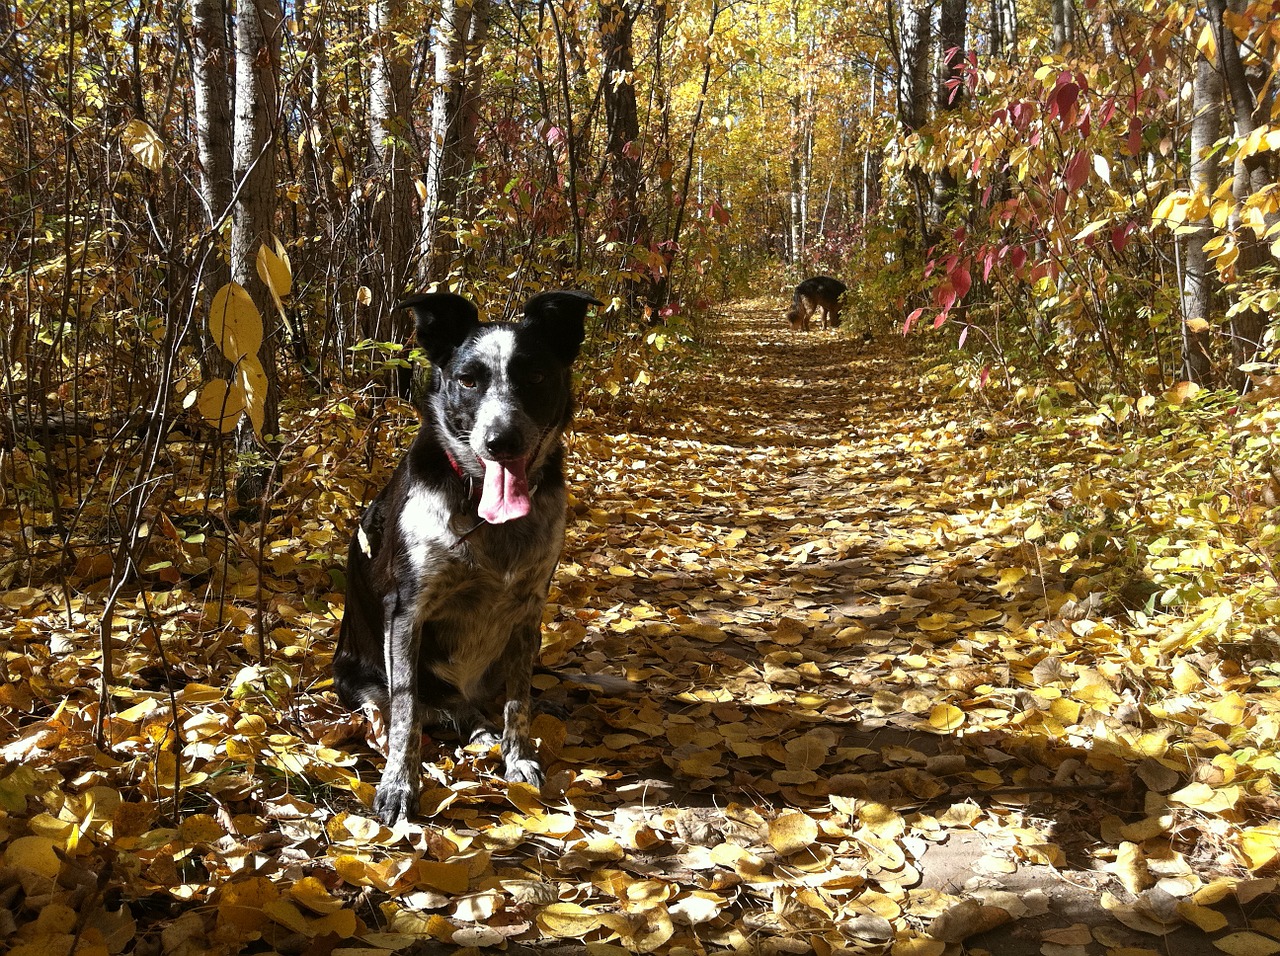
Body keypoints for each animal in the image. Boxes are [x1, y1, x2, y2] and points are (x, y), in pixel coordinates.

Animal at [335, 289, 604, 824]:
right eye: (467, 380)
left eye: (535, 375)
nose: (501, 441)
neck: (482, 509)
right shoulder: (407, 612)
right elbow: (405, 715)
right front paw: (399, 786)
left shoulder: (529, 610)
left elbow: (519, 702)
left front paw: (518, 759)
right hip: (359, 677)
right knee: (418, 709)